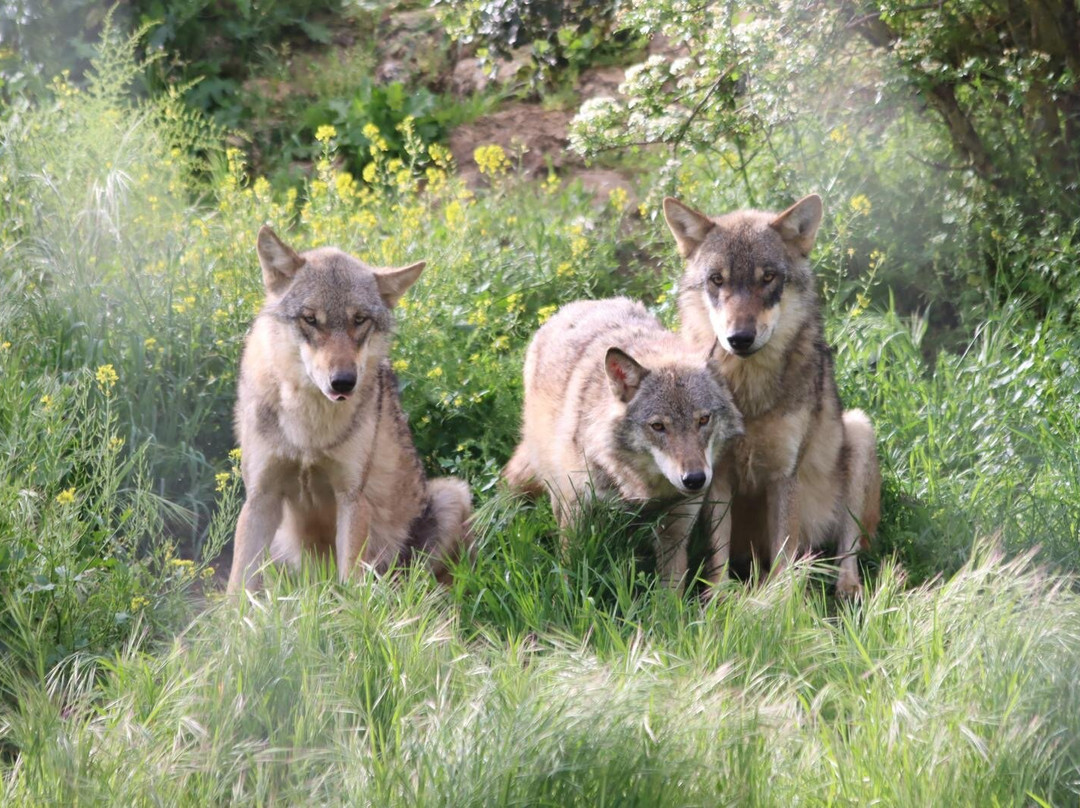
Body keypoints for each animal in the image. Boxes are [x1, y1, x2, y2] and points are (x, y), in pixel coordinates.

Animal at [226, 227, 472, 593]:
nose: (343, 382)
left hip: (450, 496)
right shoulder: (260, 495)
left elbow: (352, 587)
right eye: (310, 319)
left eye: (359, 320)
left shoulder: (352, 498)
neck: (308, 429)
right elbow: (237, 584)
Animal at [503, 297, 743, 589]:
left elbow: (670, 592)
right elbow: (570, 577)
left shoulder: (676, 530)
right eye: (658, 426)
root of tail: (579, 304)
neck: (642, 488)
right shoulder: (577, 516)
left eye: (703, 419)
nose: (695, 479)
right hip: (555, 489)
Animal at [663, 194, 881, 597]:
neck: (748, 397)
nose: (739, 338)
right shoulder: (716, 476)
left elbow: (784, 555)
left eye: (767, 277)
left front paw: (779, 605)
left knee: (847, 550)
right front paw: (717, 599)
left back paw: (848, 590)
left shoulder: (784, 476)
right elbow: (718, 555)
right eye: (717, 280)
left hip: (859, 430)